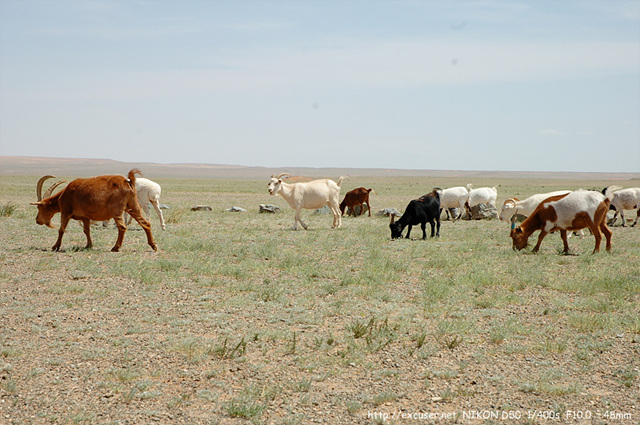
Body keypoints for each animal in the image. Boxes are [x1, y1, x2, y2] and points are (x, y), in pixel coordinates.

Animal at [30, 167, 158, 250]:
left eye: (39, 207)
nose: (37, 220)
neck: (65, 193)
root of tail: (128, 182)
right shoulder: (85, 217)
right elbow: (87, 230)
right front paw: (88, 245)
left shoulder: (65, 212)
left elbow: (61, 230)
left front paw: (55, 246)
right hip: (133, 207)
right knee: (146, 223)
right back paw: (153, 245)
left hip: (117, 210)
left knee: (122, 227)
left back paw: (115, 247)